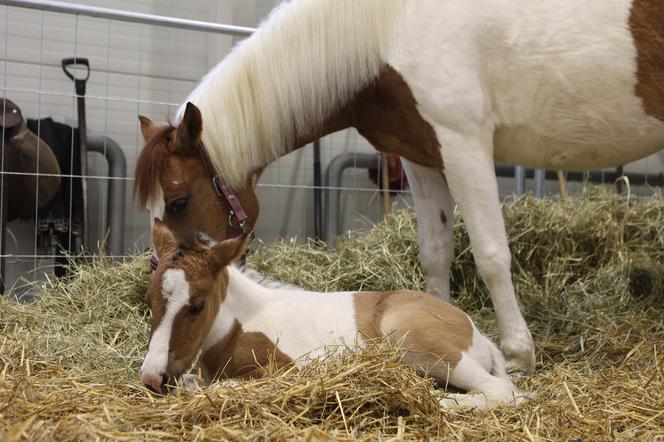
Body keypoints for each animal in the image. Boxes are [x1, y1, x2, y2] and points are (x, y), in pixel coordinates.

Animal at [135, 0, 664, 376]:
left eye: (179, 201)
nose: (158, 279)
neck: (387, 27)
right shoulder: (423, 155)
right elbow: (435, 252)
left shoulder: (464, 141)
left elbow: (491, 253)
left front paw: (518, 355)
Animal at [141, 223, 536, 410]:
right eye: (149, 301)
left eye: (197, 305)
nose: (152, 378)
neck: (240, 326)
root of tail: (477, 334)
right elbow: (194, 382)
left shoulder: (285, 371)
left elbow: (220, 387)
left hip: (416, 340)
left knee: (503, 391)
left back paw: (441, 402)